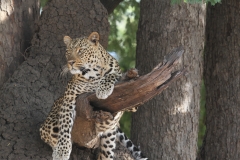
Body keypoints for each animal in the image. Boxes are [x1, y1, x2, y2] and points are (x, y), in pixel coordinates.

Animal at [39, 31, 147, 159]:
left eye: (80, 50)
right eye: (68, 52)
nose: (70, 63)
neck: (93, 73)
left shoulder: (132, 101)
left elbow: (113, 74)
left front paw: (103, 89)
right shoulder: (69, 97)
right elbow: (65, 125)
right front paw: (62, 151)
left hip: (109, 136)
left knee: (106, 153)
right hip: (50, 124)